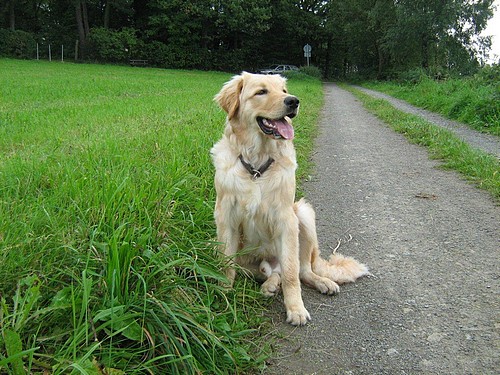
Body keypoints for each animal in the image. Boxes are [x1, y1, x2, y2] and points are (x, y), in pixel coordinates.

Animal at [209, 72, 370, 324]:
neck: (257, 165)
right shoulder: (226, 218)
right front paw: (224, 294)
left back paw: (321, 282)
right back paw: (269, 285)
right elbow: (226, 263)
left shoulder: (286, 220)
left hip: (303, 215)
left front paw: (295, 308)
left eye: (283, 91)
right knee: (268, 272)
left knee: (301, 270)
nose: (293, 101)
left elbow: (292, 274)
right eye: (261, 92)